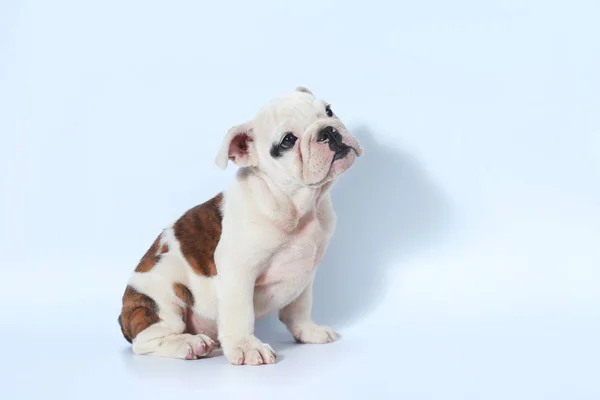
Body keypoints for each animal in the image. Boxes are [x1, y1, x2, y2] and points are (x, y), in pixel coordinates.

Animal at [117, 87, 360, 366]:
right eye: (288, 140)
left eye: (329, 111)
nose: (328, 130)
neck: (298, 204)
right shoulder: (238, 271)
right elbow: (240, 313)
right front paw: (246, 347)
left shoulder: (306, 275)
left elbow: (299, 308)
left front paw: (309, 331)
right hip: (163, 297)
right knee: (146, 340)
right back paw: (189, 343)